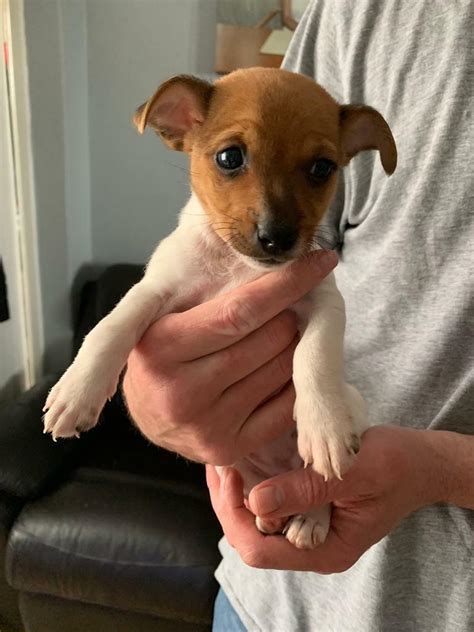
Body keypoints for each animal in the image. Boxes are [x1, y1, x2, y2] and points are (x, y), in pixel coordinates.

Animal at [42, 69, 396, 552]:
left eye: (323, 168)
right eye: (230, 157)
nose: (277, 237)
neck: (238, 267)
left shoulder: (323, 301)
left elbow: (314, 357)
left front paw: (323, 426)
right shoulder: (155, 291)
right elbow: (110, 328)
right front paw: (77, 391)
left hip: (352, 408)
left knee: (316, 488)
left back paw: (310, 518)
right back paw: (266, 513)